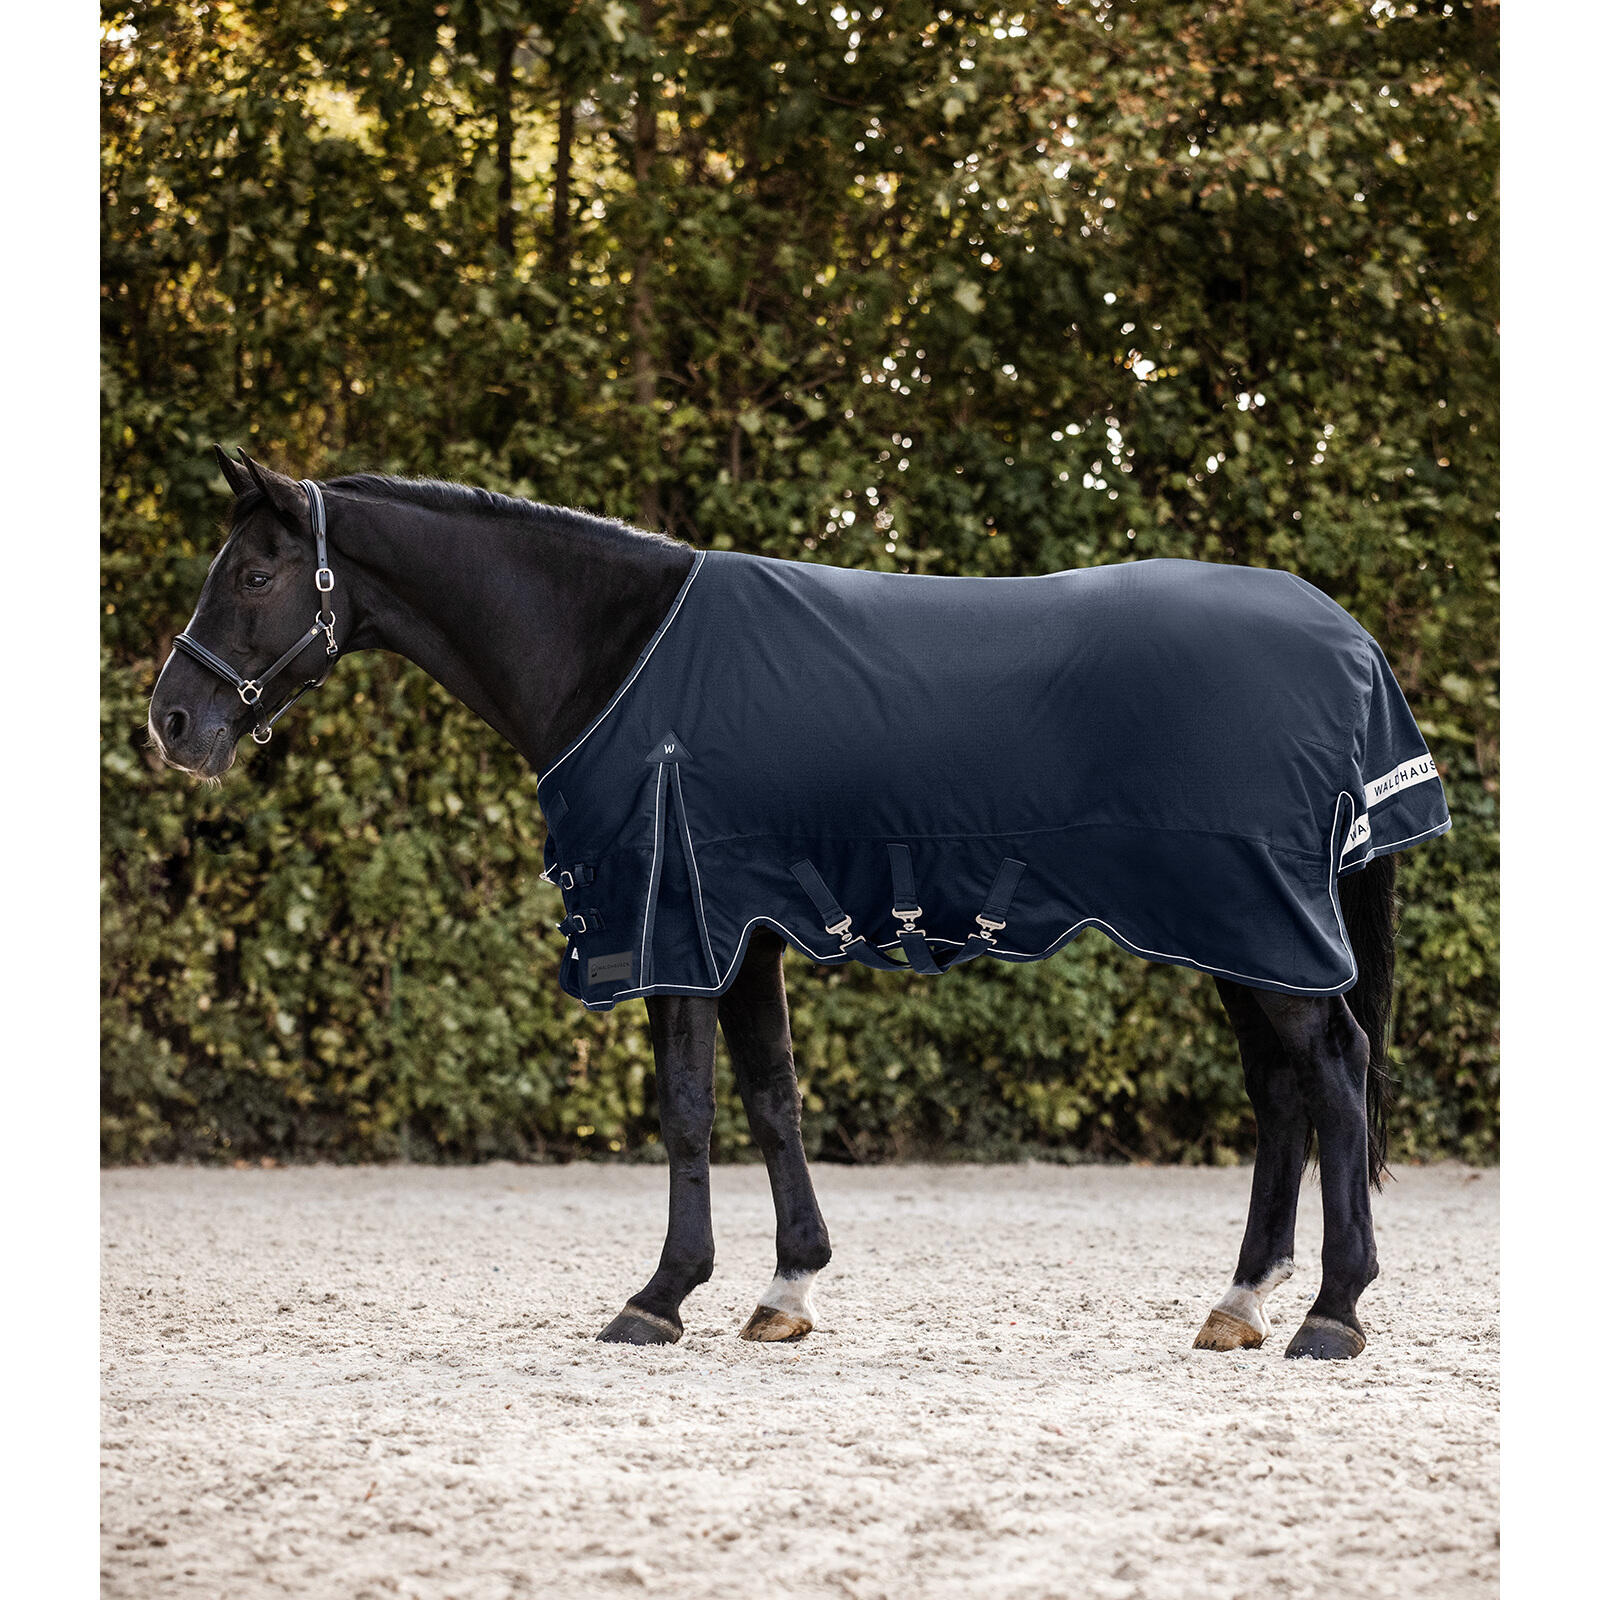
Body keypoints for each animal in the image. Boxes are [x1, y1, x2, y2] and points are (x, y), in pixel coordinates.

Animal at [147, 448, 1451, 1360]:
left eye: (254, 574)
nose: (171, 721)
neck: (618, 655)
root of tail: (1345, 640)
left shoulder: (676, 927)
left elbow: (685, 1110)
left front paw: (660, 1295)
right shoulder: (744, 934)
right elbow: (771, 1098)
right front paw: (786, 1286)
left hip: (1257, 918)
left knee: (1333, 1071)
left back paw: (1332, 1311)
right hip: (1240, 932)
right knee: (1282, 1090)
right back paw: (1241, 1300)